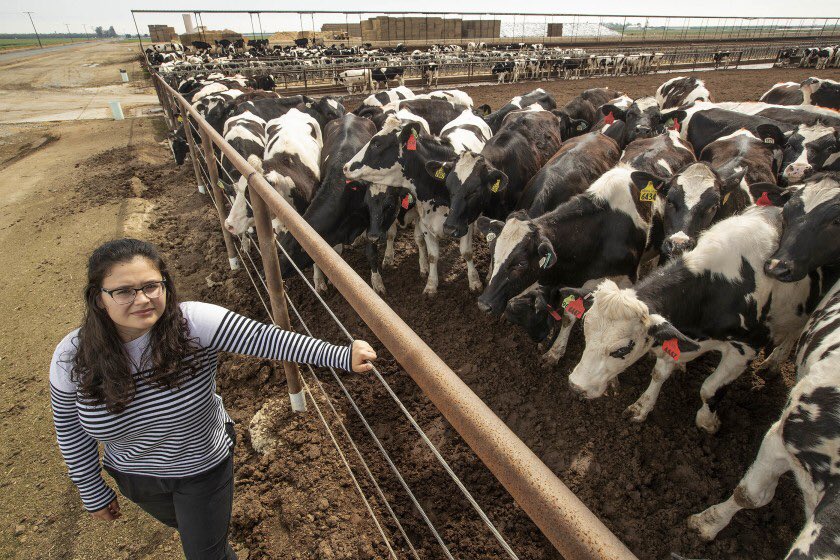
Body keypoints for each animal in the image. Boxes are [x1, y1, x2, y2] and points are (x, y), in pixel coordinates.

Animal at [560, 206, 816, 434]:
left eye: (622, 349)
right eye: (586, 332)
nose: (575, 385)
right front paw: (641, 407)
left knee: (794, 333)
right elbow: (659, 373)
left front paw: (707, 422)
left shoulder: (746, 348)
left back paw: (773, 363)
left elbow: (710, 389)